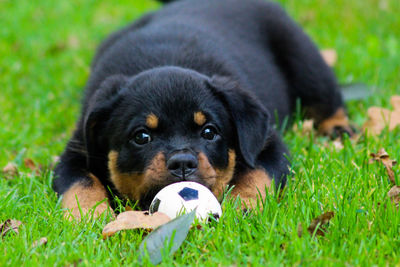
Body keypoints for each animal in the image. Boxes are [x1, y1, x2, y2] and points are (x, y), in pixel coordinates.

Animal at [53, 0, 354, 220]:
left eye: (209, 132)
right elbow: (81, 185)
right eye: (141, 137)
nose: (182, 163)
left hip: (303, 56)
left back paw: (338, 129)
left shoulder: (268, 143)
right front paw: (90, 216)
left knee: (325, 97)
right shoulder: (75, 151)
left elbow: (257, 175)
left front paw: (242, 206)